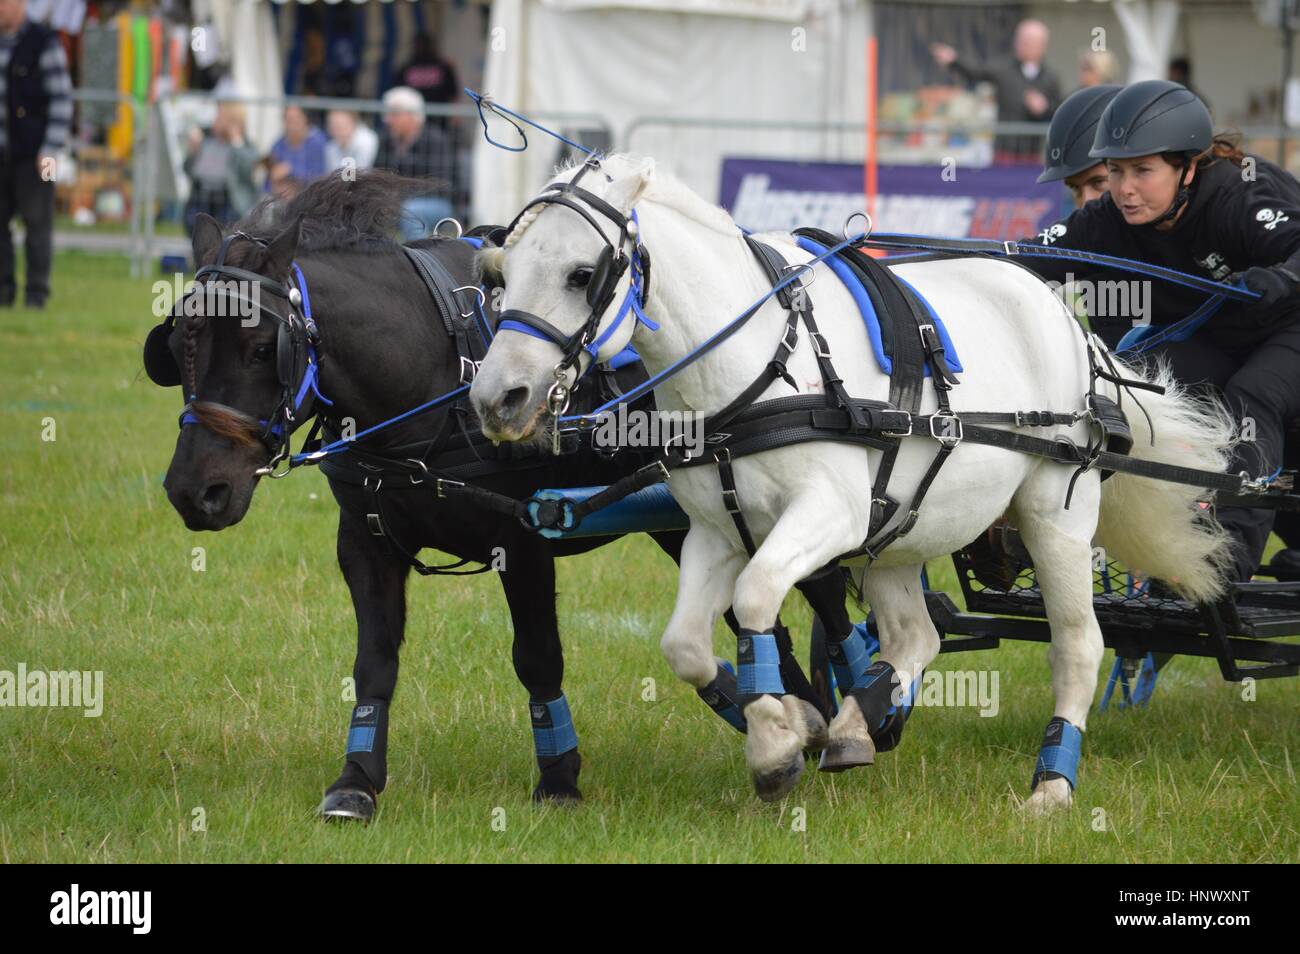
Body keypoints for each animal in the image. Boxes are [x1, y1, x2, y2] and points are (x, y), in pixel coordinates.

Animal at [144, 171, 852, 821]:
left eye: (262, 347)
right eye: (176, 345)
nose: (195, 490)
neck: (432, 373)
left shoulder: (526, 535)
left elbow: (537, 658)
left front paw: (559, 778)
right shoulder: (365, 542)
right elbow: (375, 662)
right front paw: (356, 780)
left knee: (826, 601)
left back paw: (844, 713)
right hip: (681, 522)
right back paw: (791, 715)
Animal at [473, 157, 1232, 816]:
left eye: (581, 274)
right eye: (500, 272)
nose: (497, 399)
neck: (758, 367)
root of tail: (1065, 317)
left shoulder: (826, 516)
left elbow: (755, 597)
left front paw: (775, 745)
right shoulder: (716, 533)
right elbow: (685, 645)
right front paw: (796, 723)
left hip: (1055, 516)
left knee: (1077, 644)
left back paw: (1050, 785)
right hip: (895, 528)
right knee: (914, 635)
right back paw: (855, 726)